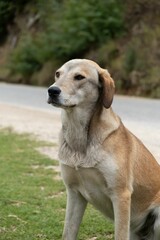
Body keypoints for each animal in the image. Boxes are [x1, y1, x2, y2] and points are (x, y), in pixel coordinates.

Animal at [47, 58, 160, 240]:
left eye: (79, 77)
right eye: (58, 74)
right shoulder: (74, 193)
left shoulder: (120, 195)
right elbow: (68, 232)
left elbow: (119, 235)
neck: (81, 139)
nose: (52, 90)